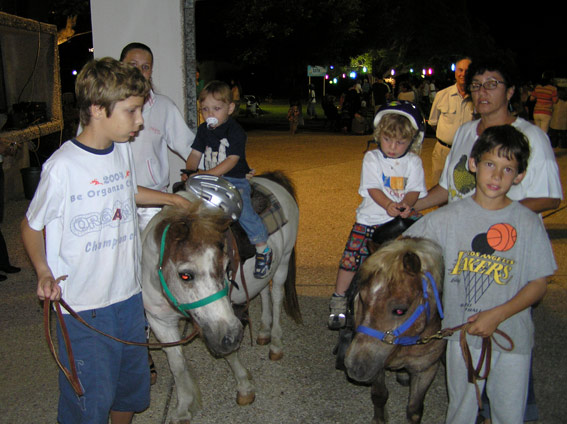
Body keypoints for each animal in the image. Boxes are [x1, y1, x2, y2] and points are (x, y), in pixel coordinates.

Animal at [344, 237, 446, 422]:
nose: (355, 365)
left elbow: (414, 410)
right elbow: (379, 395)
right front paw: (379, 419)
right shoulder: (377, 364)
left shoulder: (426, 369)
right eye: (361, 298)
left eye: (400, 310)